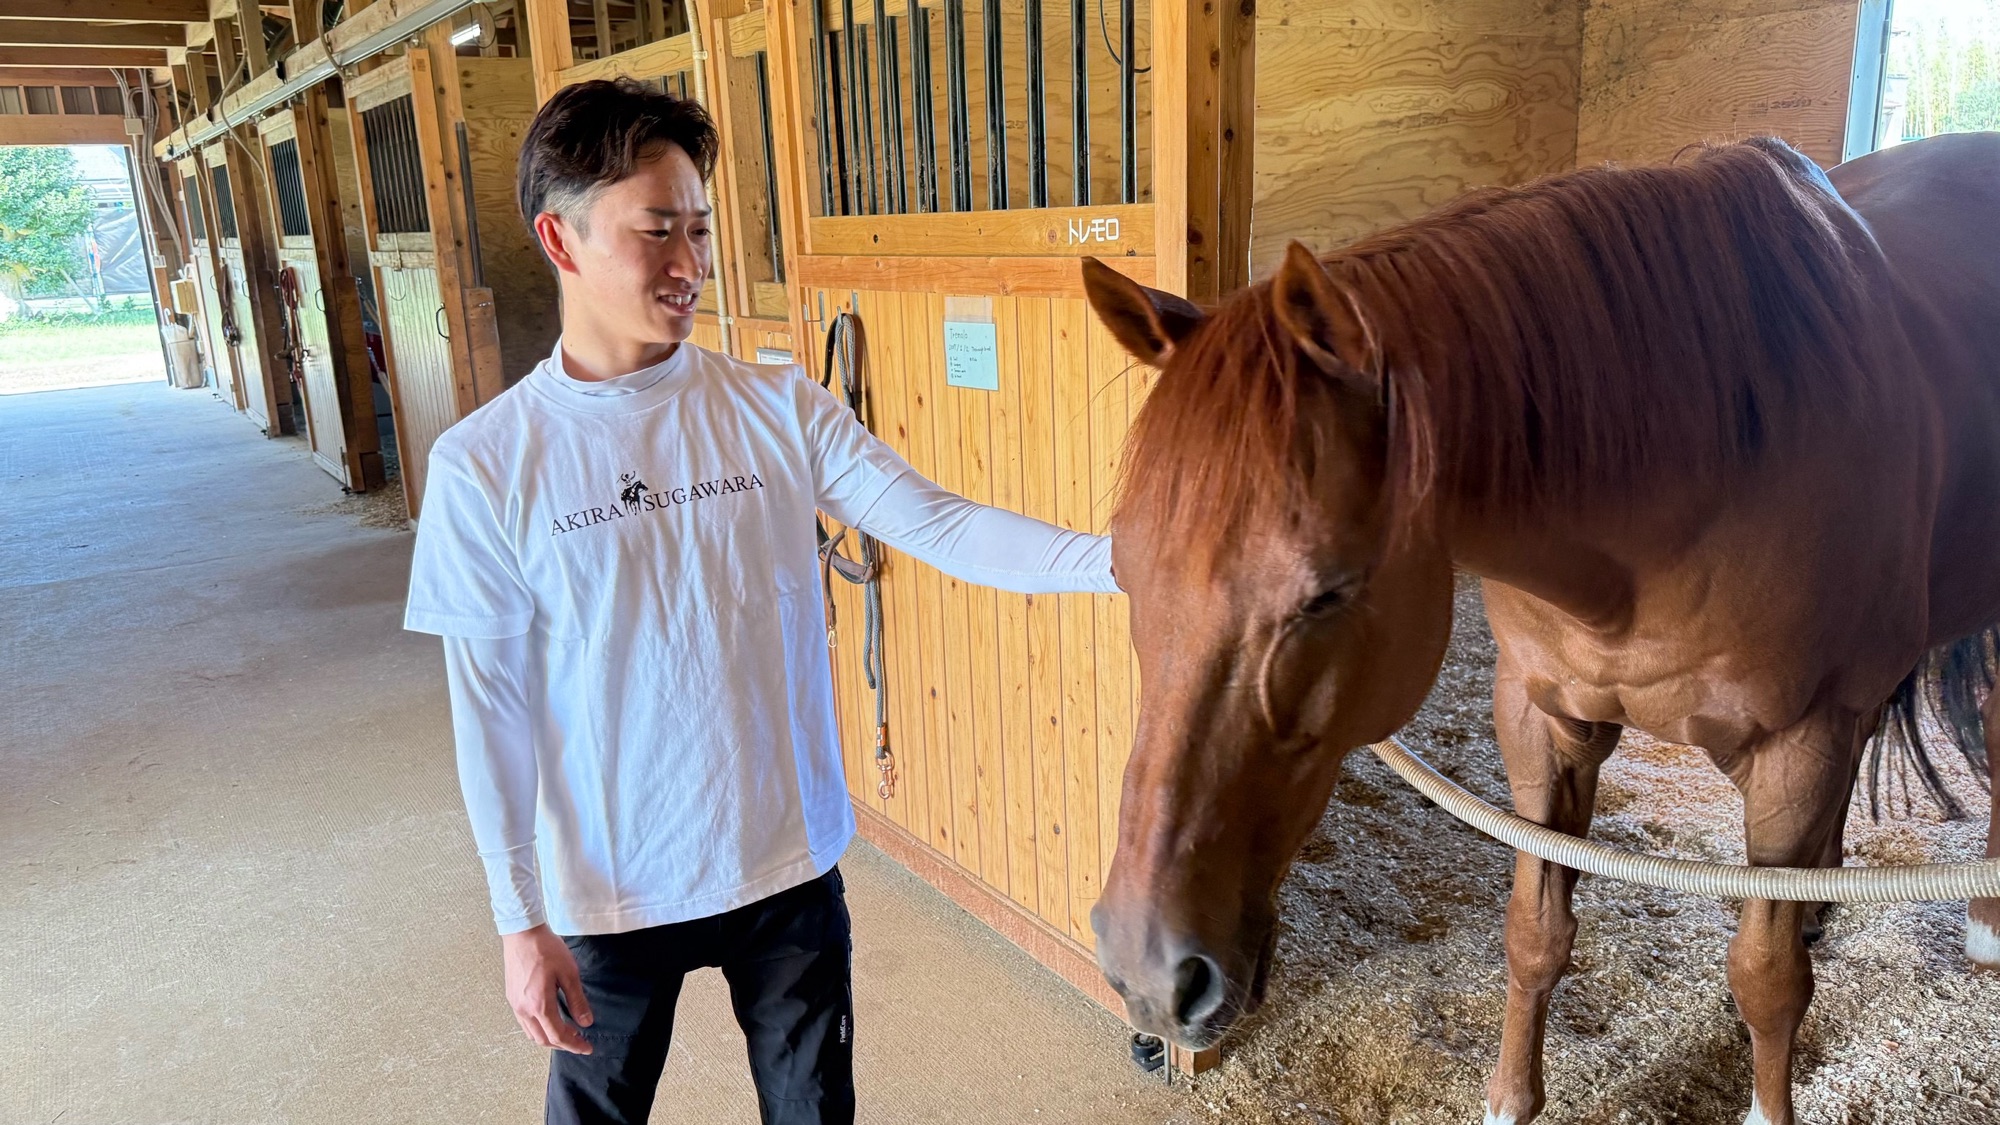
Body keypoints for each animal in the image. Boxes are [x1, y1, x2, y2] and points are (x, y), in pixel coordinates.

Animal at [1078, 132, 2000, 1125]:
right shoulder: (1543, 722)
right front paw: (1510, 1096)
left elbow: (1765, 978)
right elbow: (1535, 935)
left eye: (1325, 594)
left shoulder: (1798, 745)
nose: (1147, 974)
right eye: (1124, 570)